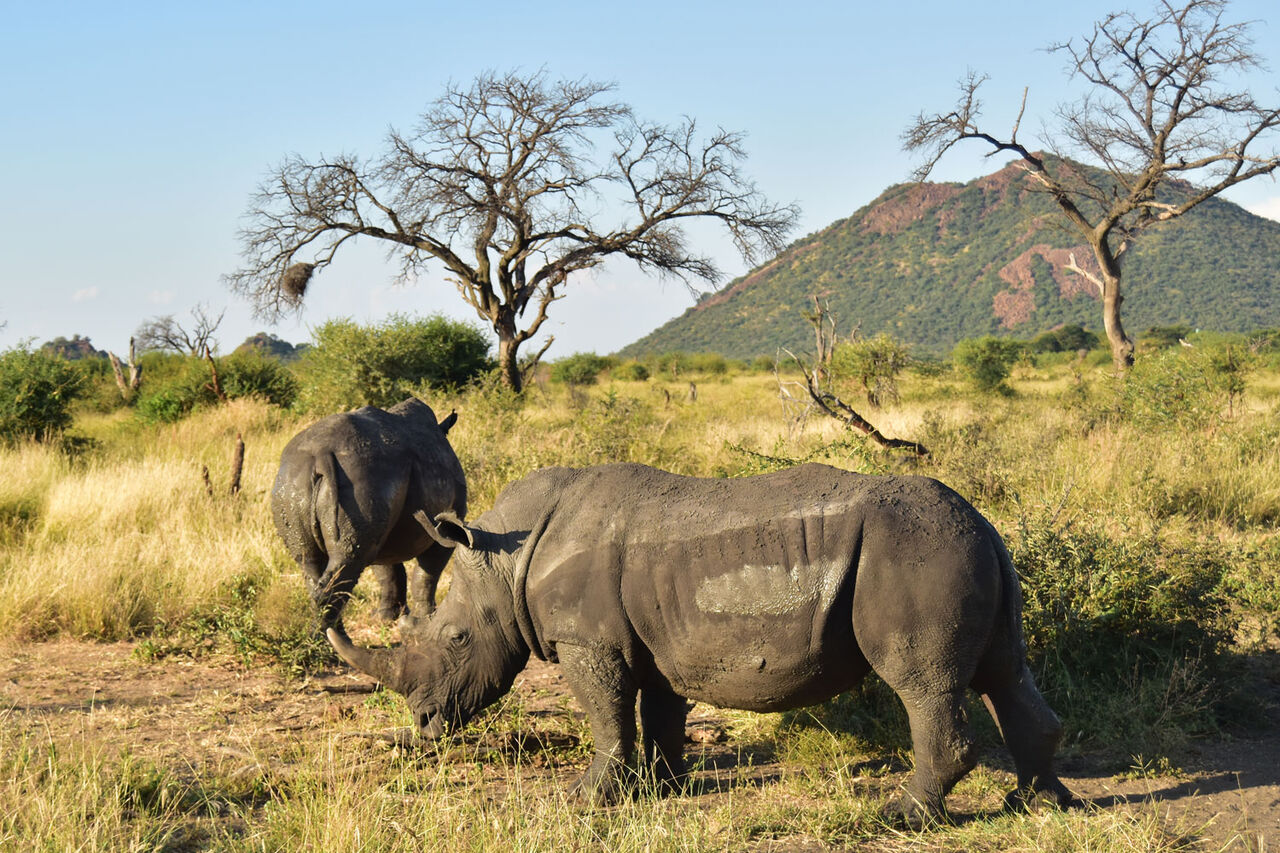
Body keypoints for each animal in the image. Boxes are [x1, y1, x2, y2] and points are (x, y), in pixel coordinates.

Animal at [272, 398, 466, 629]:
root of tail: (320, 456)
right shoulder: (449, 523)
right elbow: (426, 575)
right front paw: (427, 619)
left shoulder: (384, 532)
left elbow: (388, 571)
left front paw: (387, 618)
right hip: (364, 479)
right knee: (348, 560)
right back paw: (330, 638)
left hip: (293, 481)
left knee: (311, 560)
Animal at [326, 462, 1073, 821]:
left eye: (455, 639)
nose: (424, 722)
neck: (504, 556)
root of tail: (982, 518)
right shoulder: (654, 638)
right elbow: (659, 710)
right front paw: (662, 787)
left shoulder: (586, 639)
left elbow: (605, 714)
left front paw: (586, 797)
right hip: (967, 548)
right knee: (1006, 672)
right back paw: (1035, 803)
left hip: (916, 552)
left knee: (923, 684)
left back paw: (901, 815)